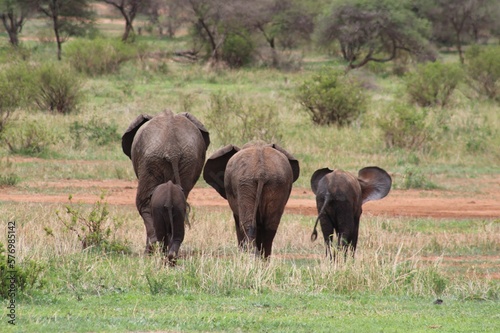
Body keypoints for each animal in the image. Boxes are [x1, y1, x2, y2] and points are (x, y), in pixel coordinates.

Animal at [122, 109, 210, 256]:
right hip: (188, 160)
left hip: (150, 160)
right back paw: (170, 252)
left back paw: (150, 252)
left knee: (144, 204)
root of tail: (172, 149)